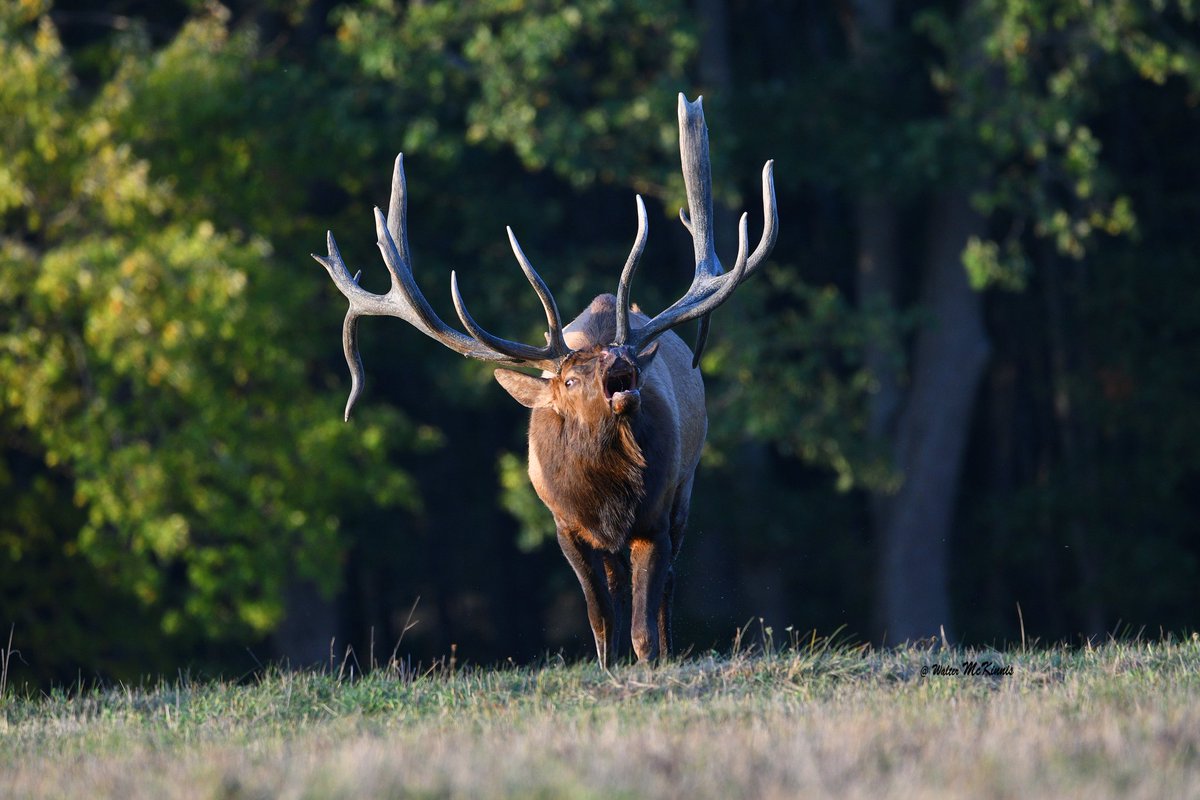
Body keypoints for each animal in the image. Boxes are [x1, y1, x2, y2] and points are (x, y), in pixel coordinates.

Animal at [314, 94, 776, 666]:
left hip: (685, 486)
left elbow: (645, 621)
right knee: (618, 586)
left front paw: (651, 661)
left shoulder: (655, 514)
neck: (607, 497)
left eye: (625, 356)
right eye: (571, 381)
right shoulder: (564, 526)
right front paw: (608, 663)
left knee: (666, 587)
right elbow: (601, 618)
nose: (620, 361)